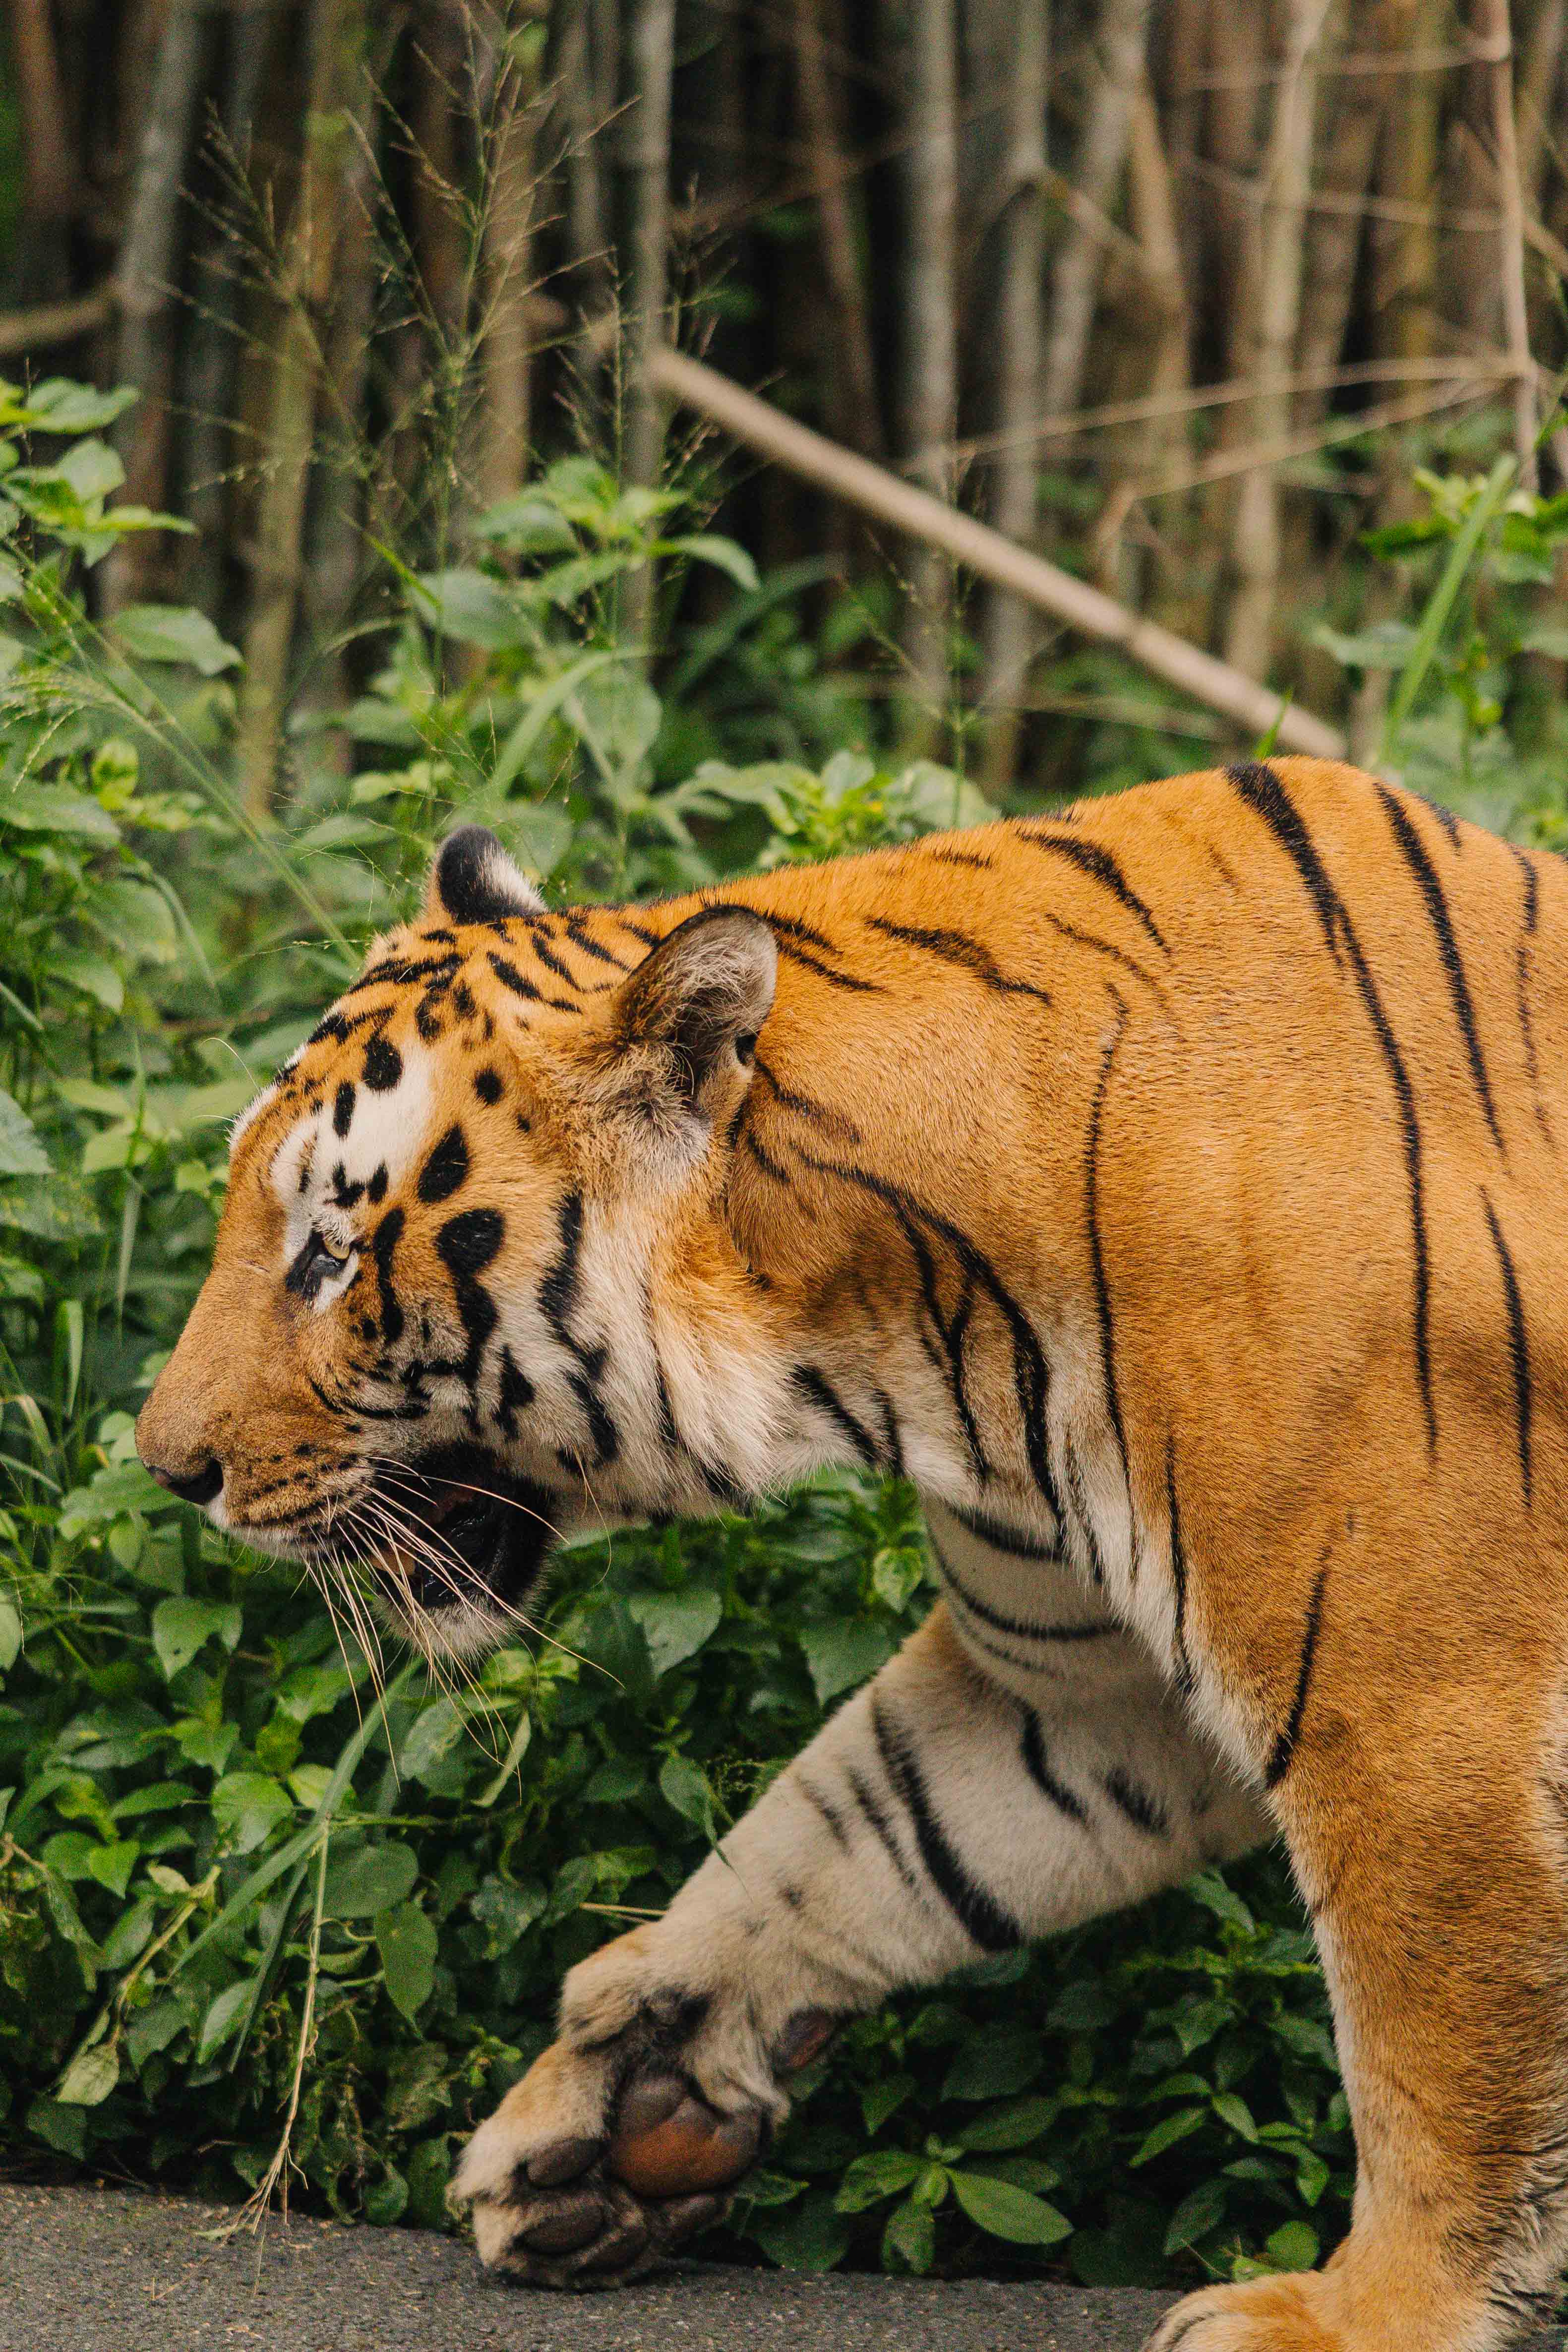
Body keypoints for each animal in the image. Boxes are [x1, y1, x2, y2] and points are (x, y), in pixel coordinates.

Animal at [135, 753, 1568, 2350]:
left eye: (330, 1253)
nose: (164, 1464)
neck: (912, 1337)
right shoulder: (1078, 1688)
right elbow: (851, 1833)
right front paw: (618, 2104)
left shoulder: (1411, 1710)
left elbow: (1436, 2032)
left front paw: (1369, 2309)